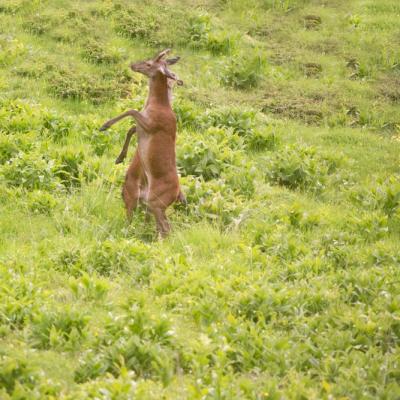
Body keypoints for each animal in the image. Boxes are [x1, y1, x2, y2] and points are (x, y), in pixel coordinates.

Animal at [101, 49, 186, 238]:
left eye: (149, 64)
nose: (133, 65)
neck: (158, 105)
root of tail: (177, 194)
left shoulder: (152, 125)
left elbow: (131, 111)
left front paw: (105, 125)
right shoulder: (142, 127)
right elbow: (131, 128)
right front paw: (119, 157)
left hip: (155, 201)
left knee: (165, 227)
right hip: (152, 203)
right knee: (163, 227)